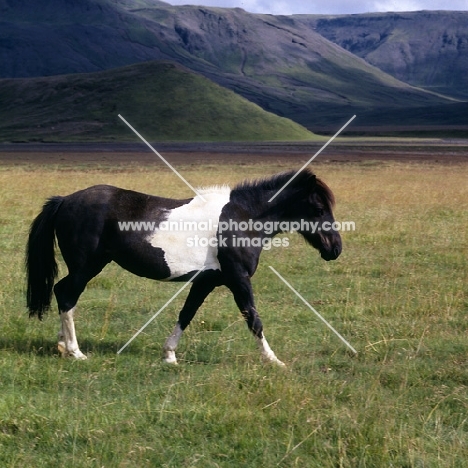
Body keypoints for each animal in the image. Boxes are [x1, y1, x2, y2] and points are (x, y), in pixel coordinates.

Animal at [26, 169, 340, 366]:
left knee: (63, 295)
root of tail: (65, 200)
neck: (243, 218)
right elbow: (253, 318)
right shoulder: (238, 279)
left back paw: (62, 345)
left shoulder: (206, 281)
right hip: (86, 267)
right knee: (66, 296)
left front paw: (169, 355)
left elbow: (186, 314)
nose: (335, 248)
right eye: (319, 209)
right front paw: (274, 361)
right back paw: (75, 351)